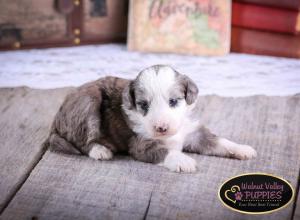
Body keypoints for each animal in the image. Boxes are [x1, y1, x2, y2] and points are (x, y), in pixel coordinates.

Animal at [48, 64, 256, 173]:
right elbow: (164, 151)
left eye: (173, 101)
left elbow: (218, 140)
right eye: (143, 105)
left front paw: (243, 149)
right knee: (82, 141)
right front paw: (183, 161)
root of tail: (56, 119)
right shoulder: (140, 143)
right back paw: (100, 150)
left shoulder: (191, 132)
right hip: (87, 102)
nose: (161, 128)